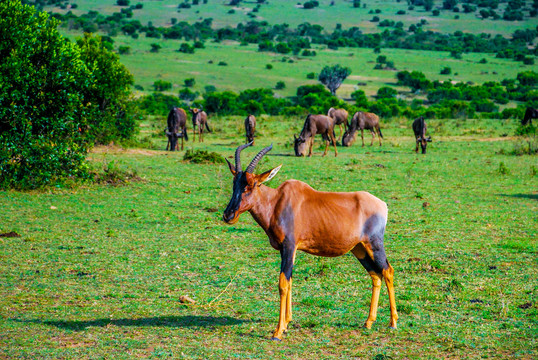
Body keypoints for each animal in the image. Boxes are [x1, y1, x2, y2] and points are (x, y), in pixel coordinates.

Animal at [220, 143, 396, 340]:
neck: (278, 201)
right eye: (234, 183)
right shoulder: (286, 249)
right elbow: (289, 280)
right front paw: (287, 323)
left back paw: (393, 323)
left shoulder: (289, 246)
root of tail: (382, 204)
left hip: (374, 244)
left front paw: (278, 331)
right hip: (359, 249)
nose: (228, 215)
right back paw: (368, 322)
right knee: (375, 274)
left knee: (387, 271)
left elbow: (283, 282)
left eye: (252, 185)